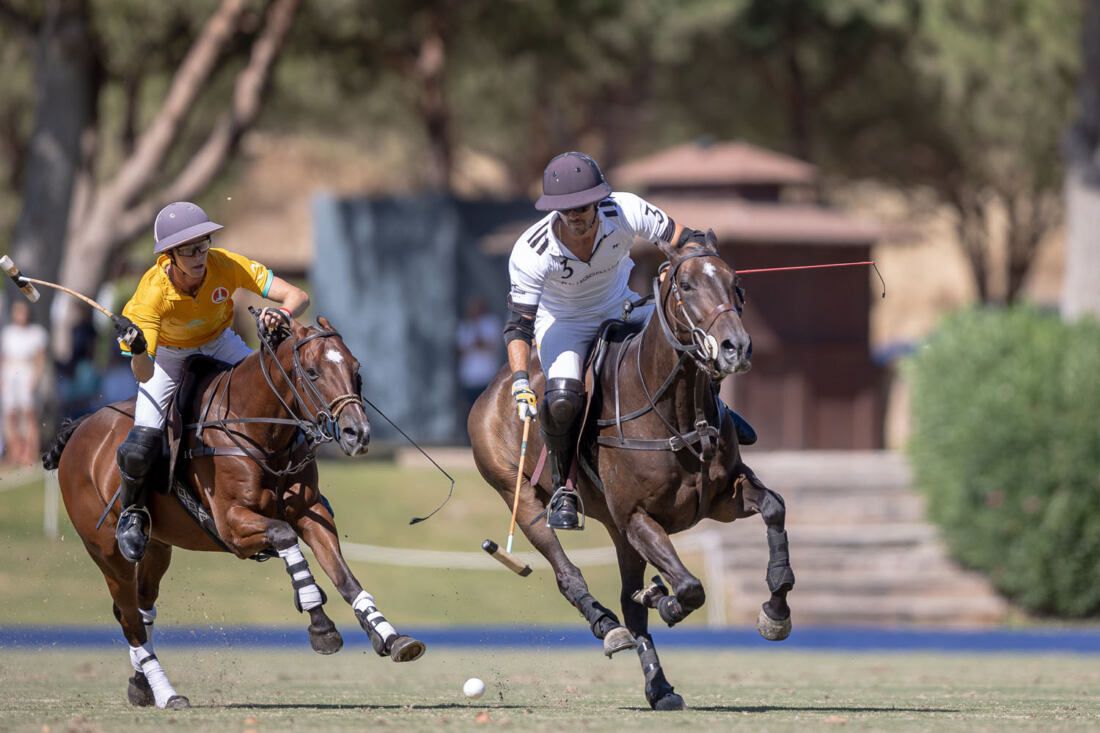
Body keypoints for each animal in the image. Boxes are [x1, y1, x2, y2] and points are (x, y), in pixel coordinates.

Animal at [40, 314, 424, 708]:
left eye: (356, 369)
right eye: (313, 372)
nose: (356, 434)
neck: (259, 428)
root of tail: (79, 428)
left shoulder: (311, 511)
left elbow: (344, 577)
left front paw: (390, 636)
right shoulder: (232, 527)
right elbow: (286, 538)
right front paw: (321, 626)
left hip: (159, 546)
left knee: (142, 608)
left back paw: (141, 685)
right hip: (105, 550)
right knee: (128, 615)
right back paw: (167, 693)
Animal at [468, 234, 796, 708]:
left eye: (737, 283)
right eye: (687, 286)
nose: (736, 347)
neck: (678, 412)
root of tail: (492, 389)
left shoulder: (720, 499)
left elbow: (774, 507)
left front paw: (775, 612)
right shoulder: (638, 516)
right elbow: (691, 587)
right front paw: (669, 601)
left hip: (617, 529)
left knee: (629, 600)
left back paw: (659, 686)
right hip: (522, 495)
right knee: (568, 570)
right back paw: (609, 626)